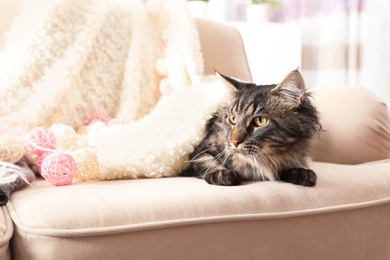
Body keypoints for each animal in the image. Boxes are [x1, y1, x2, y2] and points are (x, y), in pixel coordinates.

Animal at [181, 69, 322, 187]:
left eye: (260, 121)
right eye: (232, 119)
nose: (234, 141)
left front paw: (302, 173)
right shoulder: (198, 151)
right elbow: (207, 161)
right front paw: (223, 174)